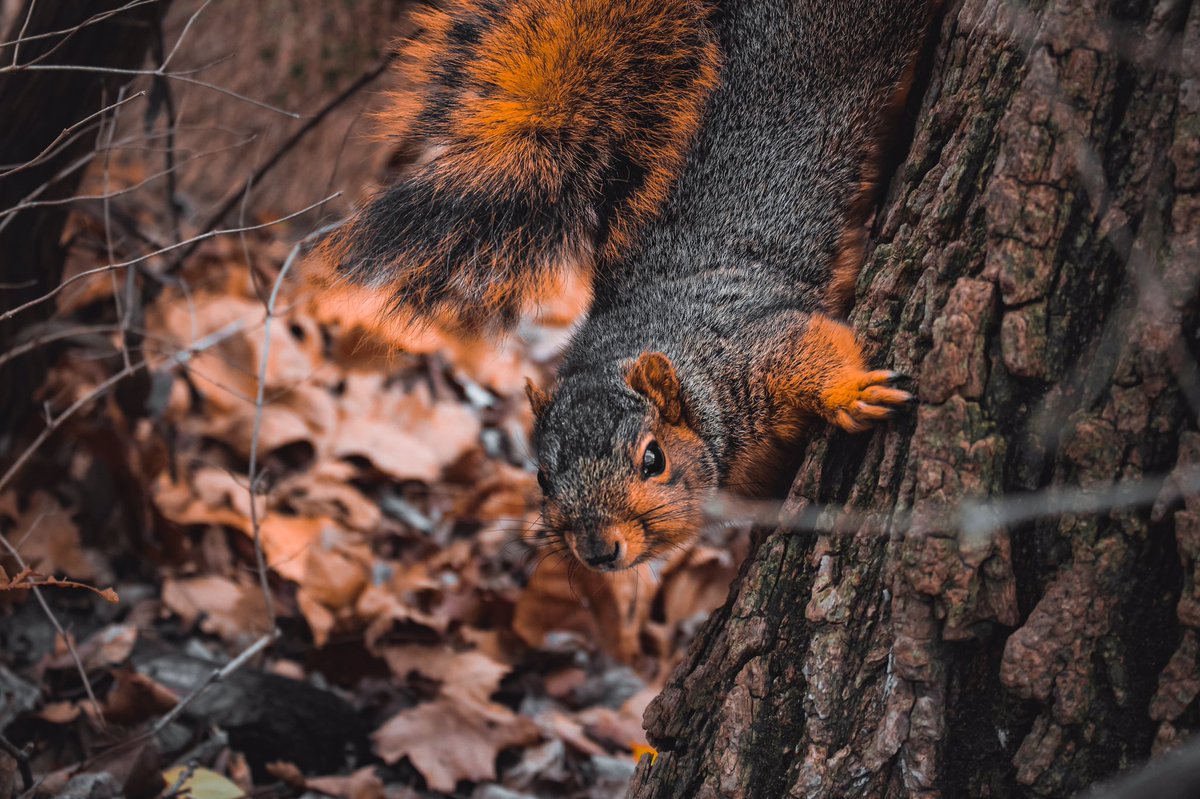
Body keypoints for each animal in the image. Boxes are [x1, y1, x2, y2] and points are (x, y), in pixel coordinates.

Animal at [308, 0, 932, 571]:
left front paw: (851, 393)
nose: (598, 550)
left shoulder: (750, 337)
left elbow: (810, 345)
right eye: (542, 477)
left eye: (653, 460)